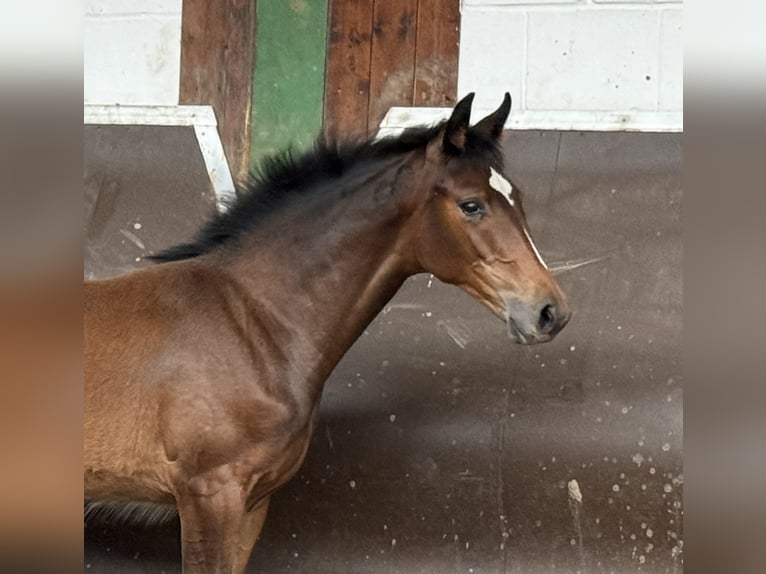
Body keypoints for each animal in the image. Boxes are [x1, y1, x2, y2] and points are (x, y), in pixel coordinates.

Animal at [85, 95, 568, 574]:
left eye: (517, 198)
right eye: (471, 205)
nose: (550, 312)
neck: (250, 321)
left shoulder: (251, 505)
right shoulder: (208, 495)